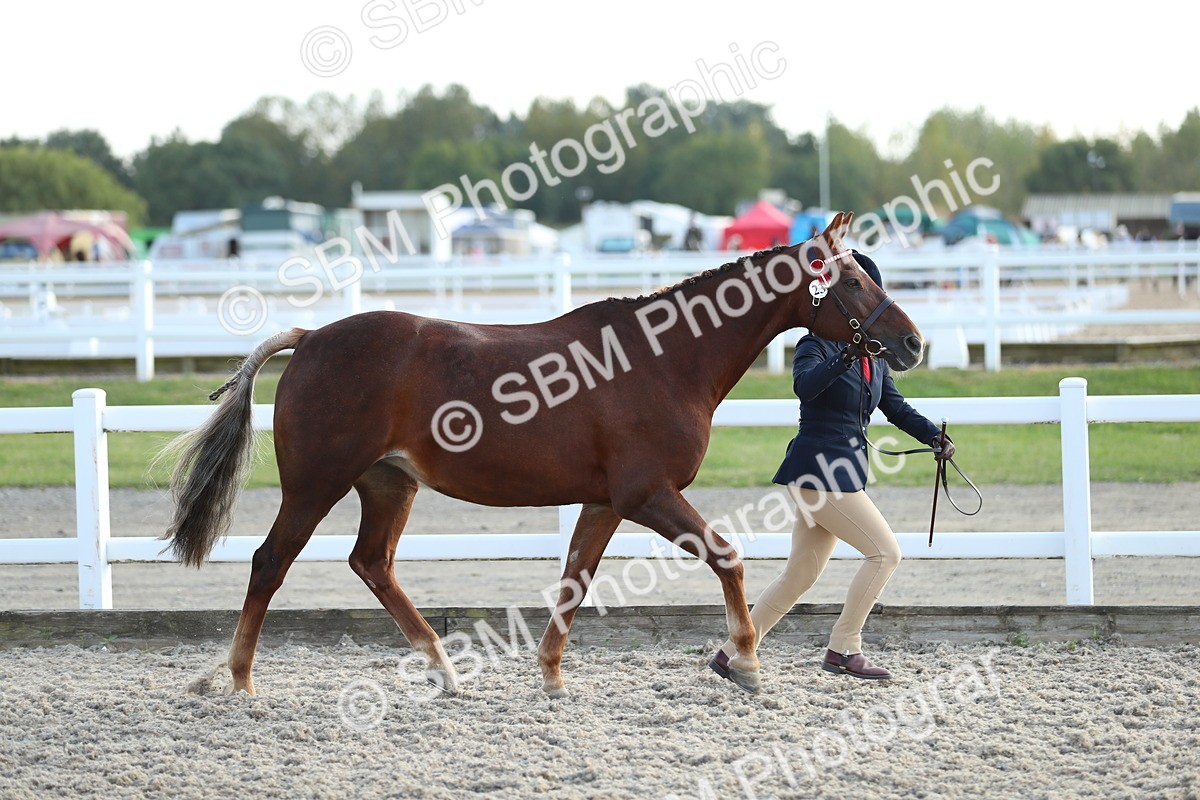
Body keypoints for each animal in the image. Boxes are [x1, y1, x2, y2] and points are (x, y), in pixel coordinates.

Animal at [161, 211, 926, 697]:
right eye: (850, 281)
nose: (913, 343)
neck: (664, 358)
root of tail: (312, 337)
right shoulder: (647, 495)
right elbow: (728, 558)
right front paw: (744, 664)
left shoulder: (604, 502)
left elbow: (573, 582)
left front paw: (553, 675)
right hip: (316, 484)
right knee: (270, 563)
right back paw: (241, 681)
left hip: (388, 485)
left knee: (371, 564)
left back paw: (444, 671)